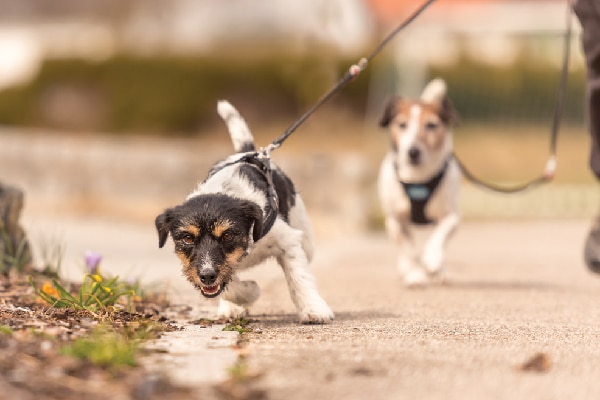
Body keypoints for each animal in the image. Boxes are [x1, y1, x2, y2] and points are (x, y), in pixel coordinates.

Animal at [378, 77, 462, 284]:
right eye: (402, 124)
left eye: (431, 125)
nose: (413, 152)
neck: (418, 177)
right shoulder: (395, 221)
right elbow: (408, 250)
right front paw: (415, 275)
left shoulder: (452, 216)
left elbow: (440, 234)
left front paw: (433, 259)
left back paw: (440, 271)